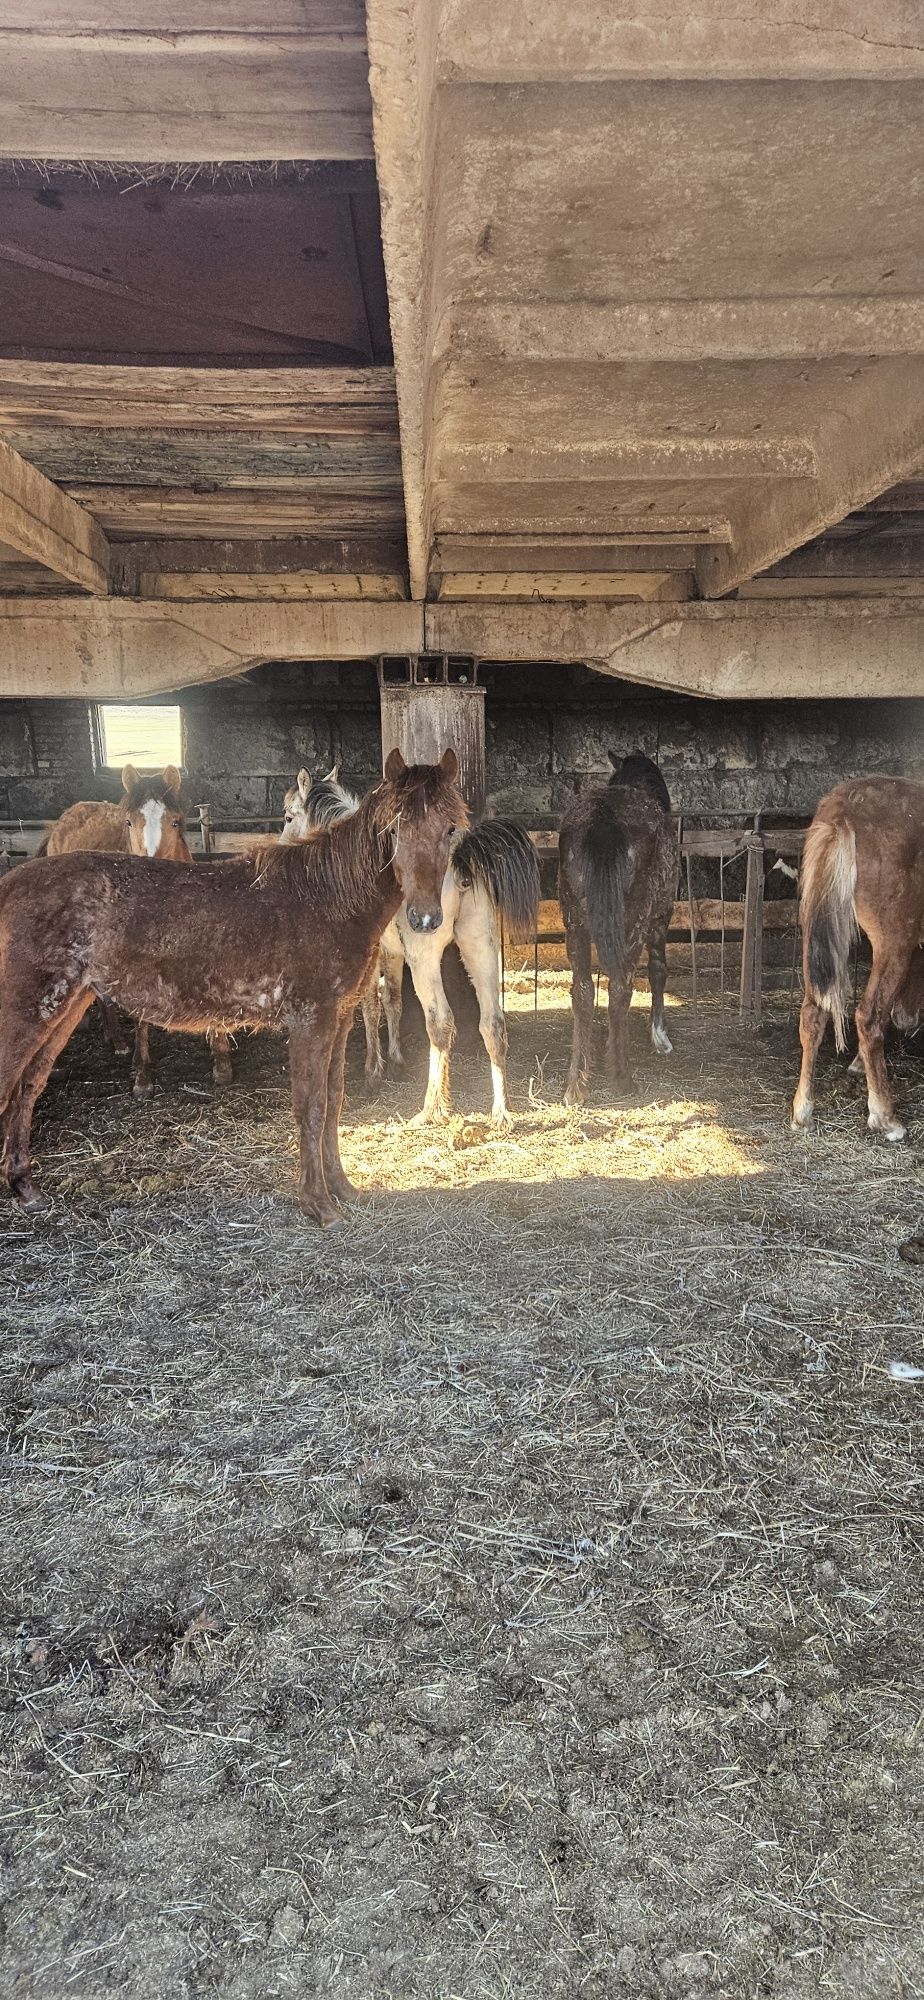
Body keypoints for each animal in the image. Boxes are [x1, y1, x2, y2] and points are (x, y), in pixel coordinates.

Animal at [38, 764, 235, 1096]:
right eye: (129, 822)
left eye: (175, 821)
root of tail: (61, 822)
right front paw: (142, 1074)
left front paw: (221, 1061)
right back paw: (119, 1041)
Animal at [282, 760, 540, 1120]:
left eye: (289, 817)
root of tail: (460, 861)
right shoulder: (391, 952)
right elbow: (392, 999)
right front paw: (395, 1061)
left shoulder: (373, 954)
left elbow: (371, 1005)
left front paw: (374, 1071)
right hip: (481, 947)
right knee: (493, 1024)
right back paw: (501, 1112)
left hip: (426, 958)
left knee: (441, 1024)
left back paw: (432, 1108)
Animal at [556, 752, 680, 1104]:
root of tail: (603, 822)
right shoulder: (661, 917)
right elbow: (658, 971)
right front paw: (659, 1036)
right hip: (634, 922)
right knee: (620, 988)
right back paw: (623, 1079)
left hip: (575, 924)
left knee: (583, 991)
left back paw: (576, 1085)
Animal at [792, 772, 924, 1144]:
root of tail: (843, 811)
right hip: (894, 942)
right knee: (869, 1017)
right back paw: (885, 1117)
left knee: (813, 1014)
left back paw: (803, 1111)